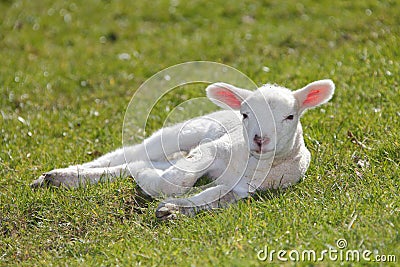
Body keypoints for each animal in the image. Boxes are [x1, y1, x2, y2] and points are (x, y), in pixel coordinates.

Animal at [31, 79, 334, 220]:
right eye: (245, 114)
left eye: (290, 117)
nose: (260, 140)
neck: (251, 162)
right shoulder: (212, 148)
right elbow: (178, 181)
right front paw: (156, 187)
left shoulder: (243, 188)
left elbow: (213, 197)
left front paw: (173, 210)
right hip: (184, 133)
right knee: (130, 153)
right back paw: (59, 176)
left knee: (131, 165)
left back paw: (61, 180)